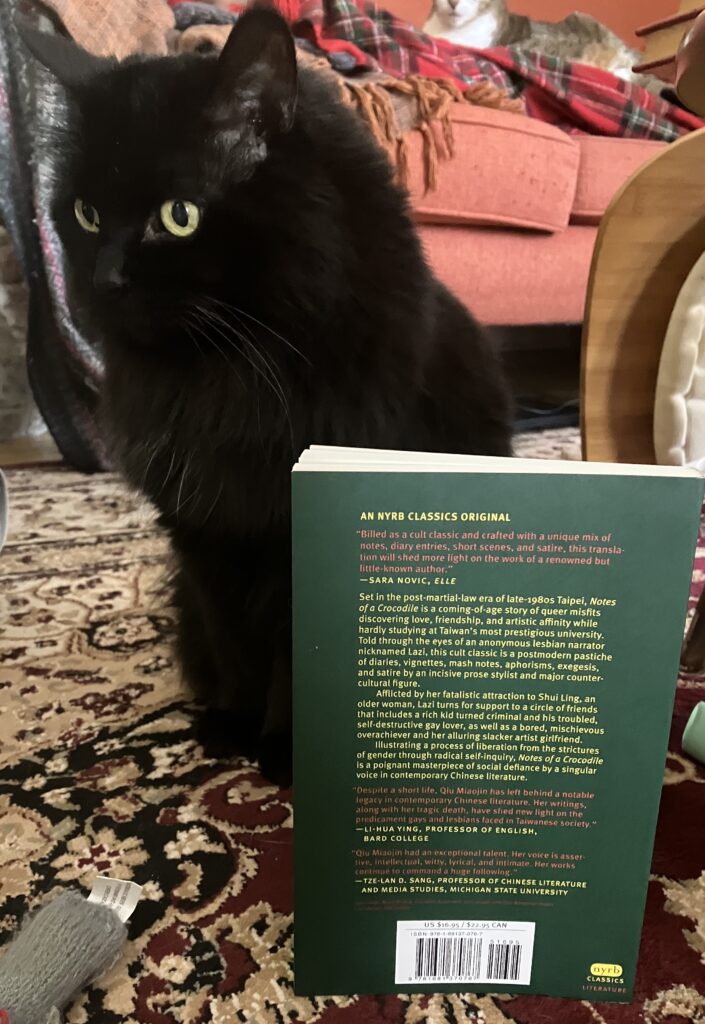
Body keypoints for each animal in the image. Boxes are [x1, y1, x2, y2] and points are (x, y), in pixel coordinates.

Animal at [17, 6, 512, 782]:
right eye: (88, 213)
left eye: (178, 215)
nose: (101, 283)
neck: (226, 376)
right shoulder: (202, 532)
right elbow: (232, 645)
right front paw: (228, 728)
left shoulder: (289, 543)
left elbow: (289, 656)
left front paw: (279, 751)